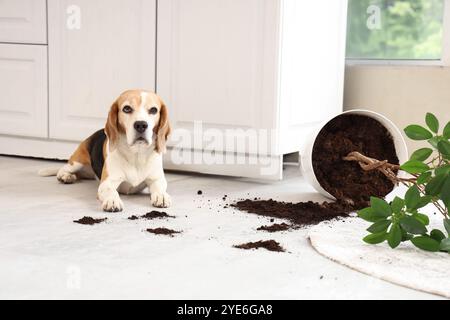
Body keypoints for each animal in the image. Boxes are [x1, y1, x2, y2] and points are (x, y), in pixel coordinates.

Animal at [38, 89, 171, 212]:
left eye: (153, 110)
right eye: (127, 109)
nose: (141, 125)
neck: (136, 154)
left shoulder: (157, 179)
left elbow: (159, 187)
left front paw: (162, 196)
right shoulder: (106, 183)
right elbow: (111, 191)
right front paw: (112, 200)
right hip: (77, 161)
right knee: (63, 169)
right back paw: (66, 176)